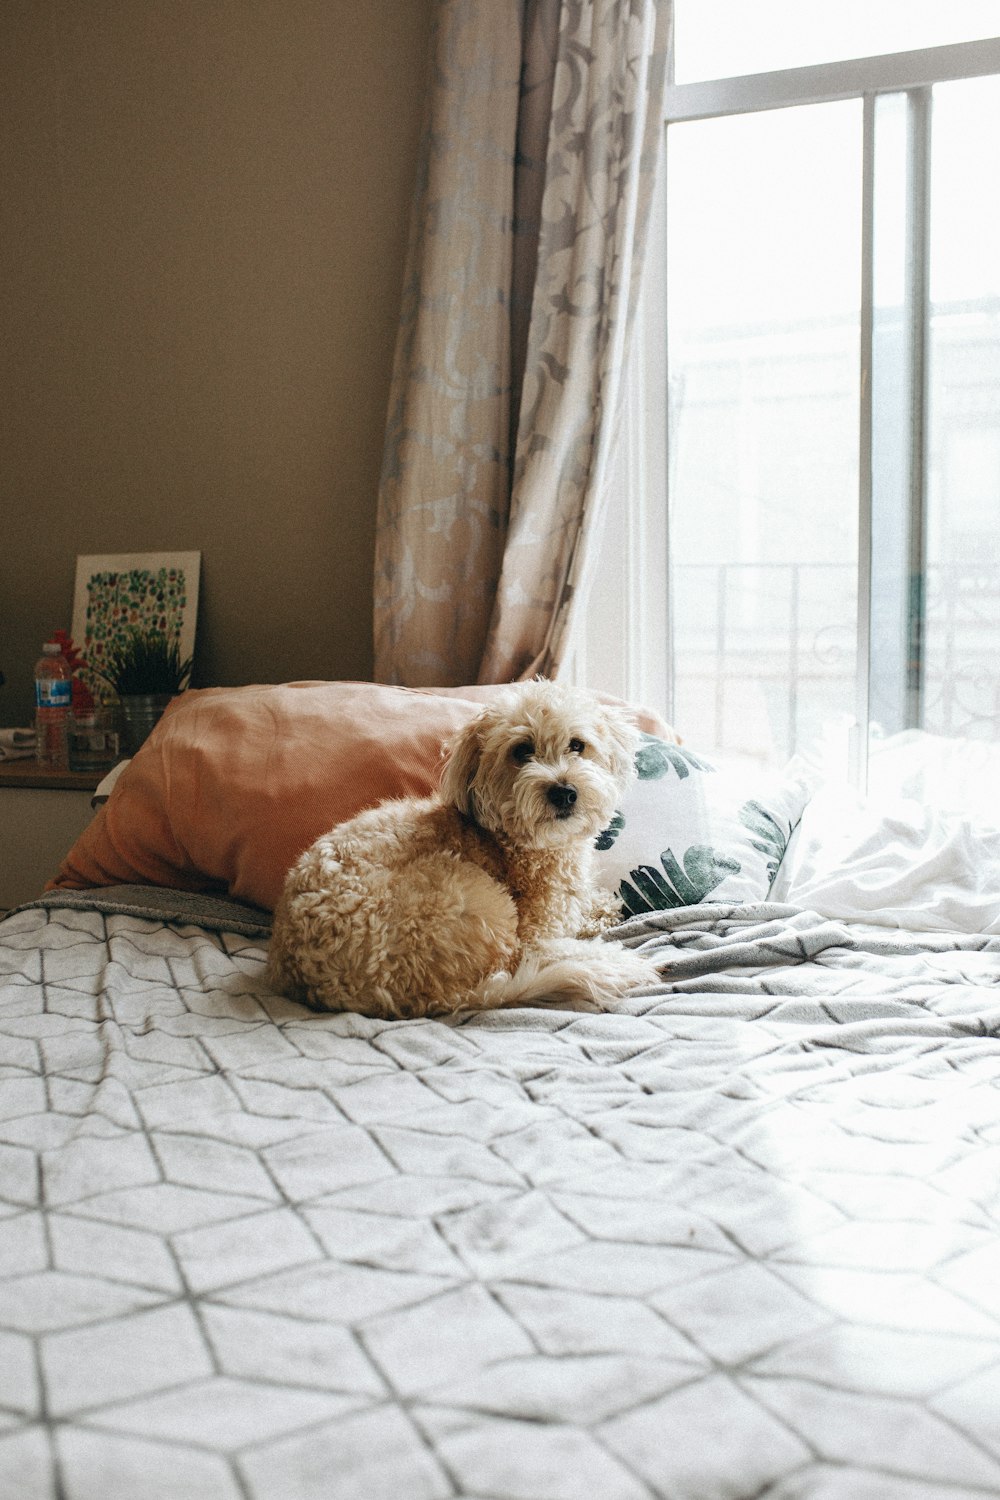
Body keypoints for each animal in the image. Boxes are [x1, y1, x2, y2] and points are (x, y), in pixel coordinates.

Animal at [268, 681, 656, 1020]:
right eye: (522, 751)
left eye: (577, 745)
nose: (564, 792)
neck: (513, 842)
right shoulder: (537, 932)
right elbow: (557, 940)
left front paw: (601, 908)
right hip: (481, 900)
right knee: (514, 960)